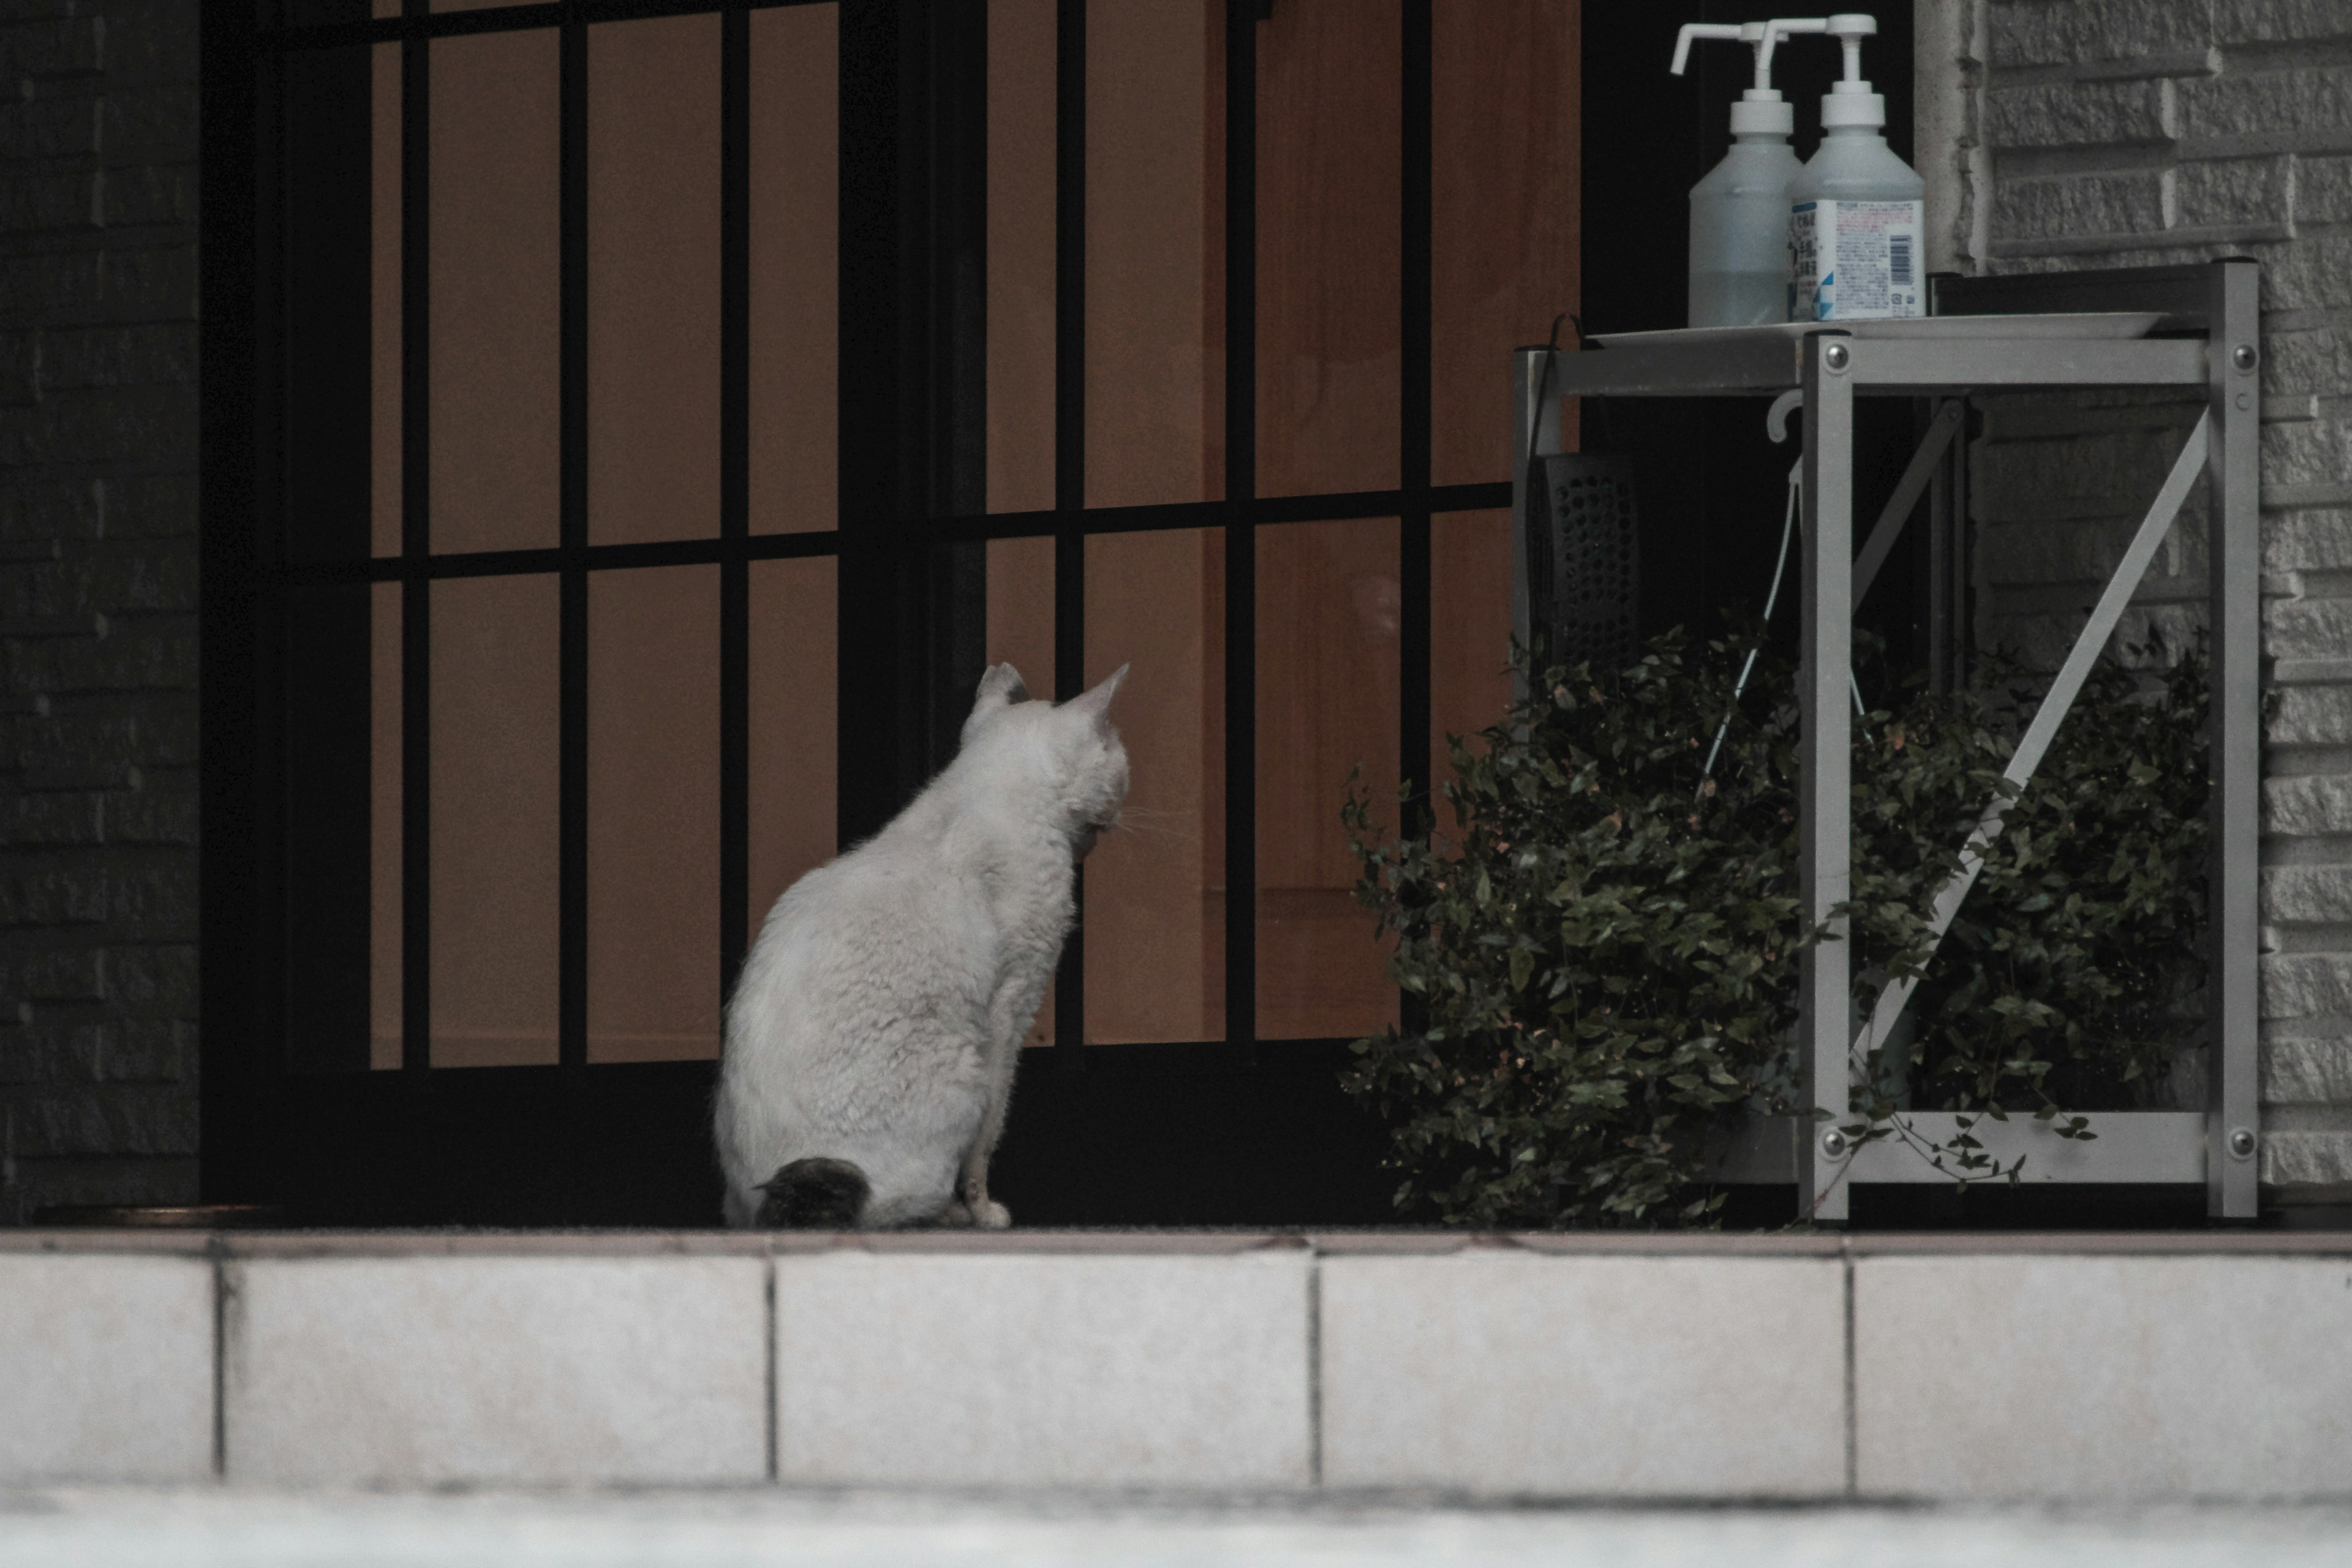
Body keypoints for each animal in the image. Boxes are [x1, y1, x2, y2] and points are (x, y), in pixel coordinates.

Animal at [710, 658, 1124, 1222]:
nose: (1117, 815)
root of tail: (771, 1199)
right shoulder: (1014, 1009)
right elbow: (987, 1142)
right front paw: (985, 1212)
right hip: (963, 1071)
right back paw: (950, 1214)